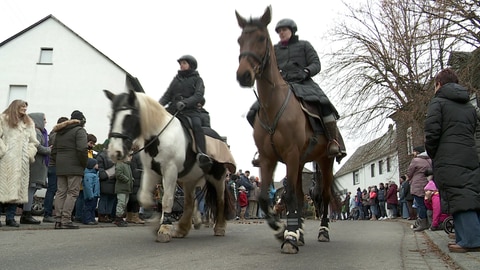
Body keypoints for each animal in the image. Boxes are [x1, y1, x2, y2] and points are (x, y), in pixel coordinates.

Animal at [104, 89, 235, 243]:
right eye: (111, 117)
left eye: (129, 117)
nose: (114, 152)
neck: (159, 137)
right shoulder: (151, 172)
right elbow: (145, 198)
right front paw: (157, 222)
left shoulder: (170, 171)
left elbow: (166, 200)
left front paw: (164, 229)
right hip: (189, 180)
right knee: (190, 202)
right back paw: (183, 229)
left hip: (217, 178)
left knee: (220, 200)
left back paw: (219, 228)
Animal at [236, 6, 338, 255]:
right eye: (240, 40)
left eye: (262, 39)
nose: (243, 75)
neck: (273, 106)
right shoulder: (268, 157)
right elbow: (266, 198)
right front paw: (281, 229)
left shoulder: (290, 154)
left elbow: (289, 195)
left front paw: (289, 236)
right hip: (300, 163)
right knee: (300, 196)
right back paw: (299, 230)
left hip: (324, 161)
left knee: (324, 196)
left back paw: (322, 231)